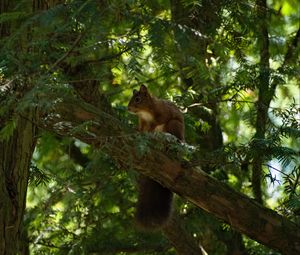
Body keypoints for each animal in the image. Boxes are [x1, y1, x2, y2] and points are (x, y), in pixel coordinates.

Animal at [127, 84, 184, 230]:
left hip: (174, 126)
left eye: (137, 99)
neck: (145, 112)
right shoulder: (142, 121)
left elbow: (158, 121)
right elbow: (142, 128)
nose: (128, 108)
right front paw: (138, 130)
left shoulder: (163, 113)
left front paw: (150, 130)